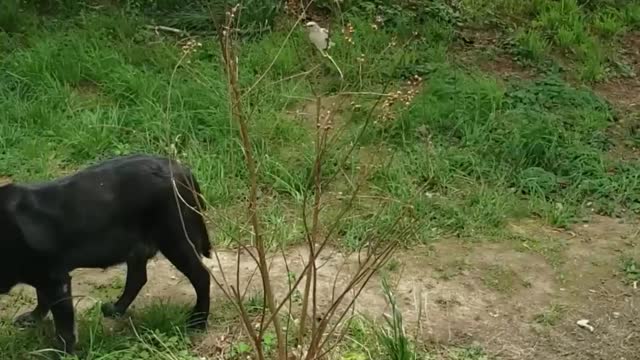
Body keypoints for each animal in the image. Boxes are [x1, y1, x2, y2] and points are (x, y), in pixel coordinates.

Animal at [0, 154, 214, 354]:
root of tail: (181, 169)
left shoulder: (56, 281)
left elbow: (64, 327)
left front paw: (61, 353)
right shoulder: (44, 276)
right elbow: (42, 299)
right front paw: (33, 318)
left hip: (175, 240)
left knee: (201, 276)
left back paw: (197, 322)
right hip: (137, 247)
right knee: (138, 278)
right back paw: (116, 309)